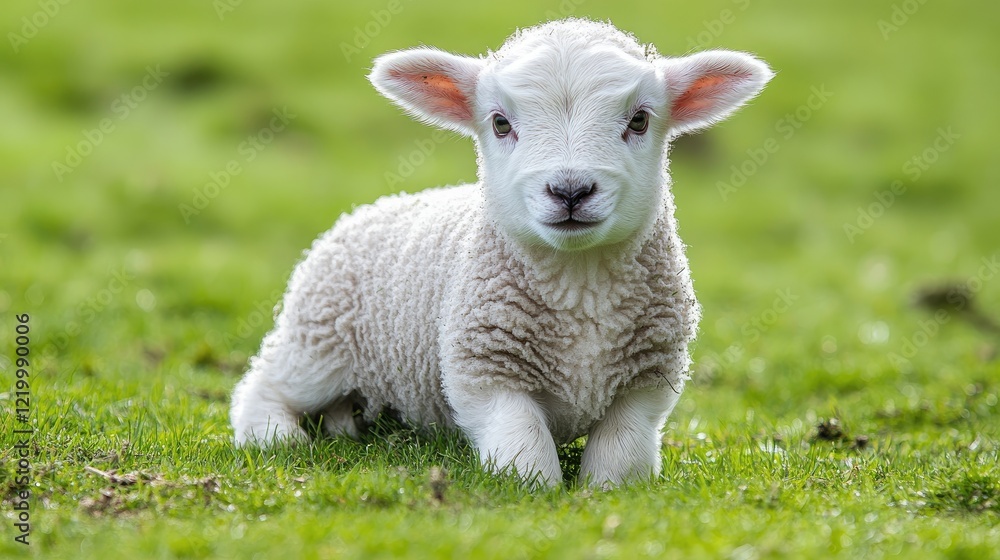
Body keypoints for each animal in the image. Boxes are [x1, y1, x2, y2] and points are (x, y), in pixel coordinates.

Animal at [230, 18, 772, 488]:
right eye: (500, 123)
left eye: (639, 120)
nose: (570, 190)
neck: (579, 285)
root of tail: (368, 209)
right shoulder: (485, 372)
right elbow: (524, 448)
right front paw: (536, 491)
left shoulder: (649, 378)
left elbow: (622, 454)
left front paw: (603, 492)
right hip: (319, 340)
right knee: (263, 385)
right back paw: (275, 435)